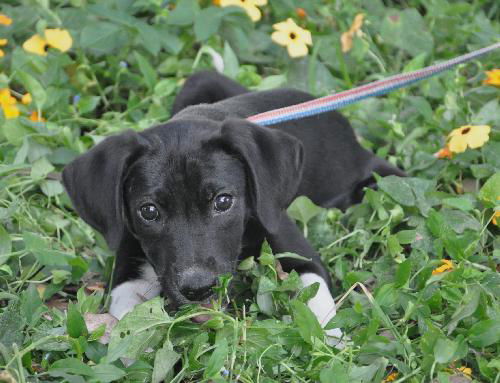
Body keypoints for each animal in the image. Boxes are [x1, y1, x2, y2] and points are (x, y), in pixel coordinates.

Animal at [62, 72, 404, 340]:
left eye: (223, 201)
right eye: (148, 211)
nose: (197, 289)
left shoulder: (295, 246)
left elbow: (316, 302)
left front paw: (330, 342)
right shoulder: (128, 258)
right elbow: (129, 317)